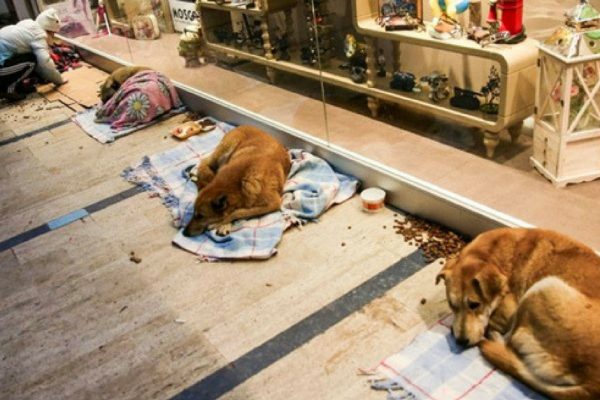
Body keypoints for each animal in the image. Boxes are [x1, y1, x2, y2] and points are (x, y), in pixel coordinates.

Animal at [436, 228, 600, 400]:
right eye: (452, 304)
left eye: (475, 305)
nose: (460, 341)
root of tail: (592, 385)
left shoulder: (508, 312)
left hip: (543, 286)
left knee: (509, 341)